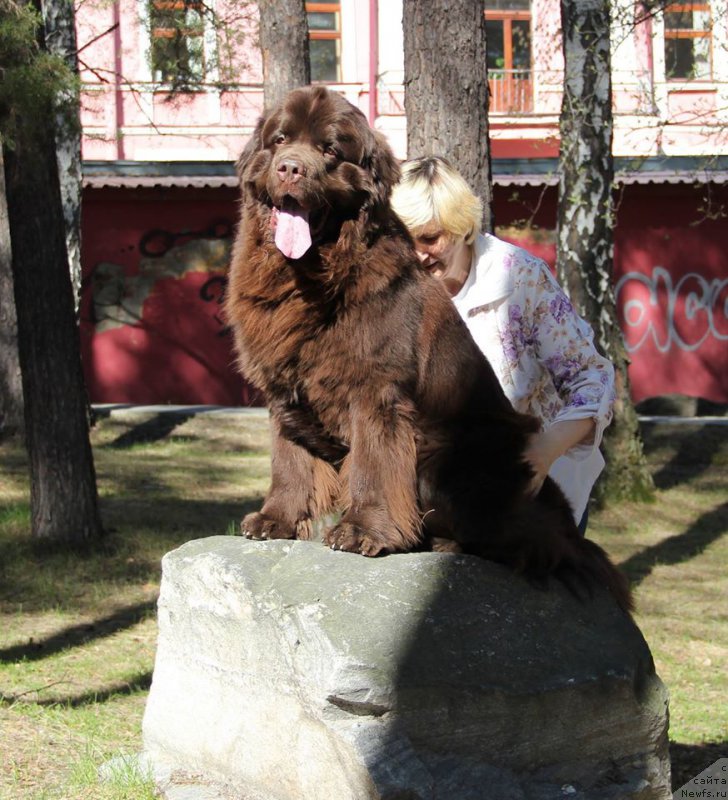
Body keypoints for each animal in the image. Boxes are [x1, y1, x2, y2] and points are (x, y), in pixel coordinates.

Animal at [228, 86, 632, 612]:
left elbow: (375, 463)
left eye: (330, 150)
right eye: (279, 141)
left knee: (531, 545)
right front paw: (275, 519)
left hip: (451, 460)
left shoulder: (376, 389)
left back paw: (445, 544)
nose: (290, 168)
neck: (311, 277)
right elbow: (289, 461)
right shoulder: (285, 388)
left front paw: (364, 531)